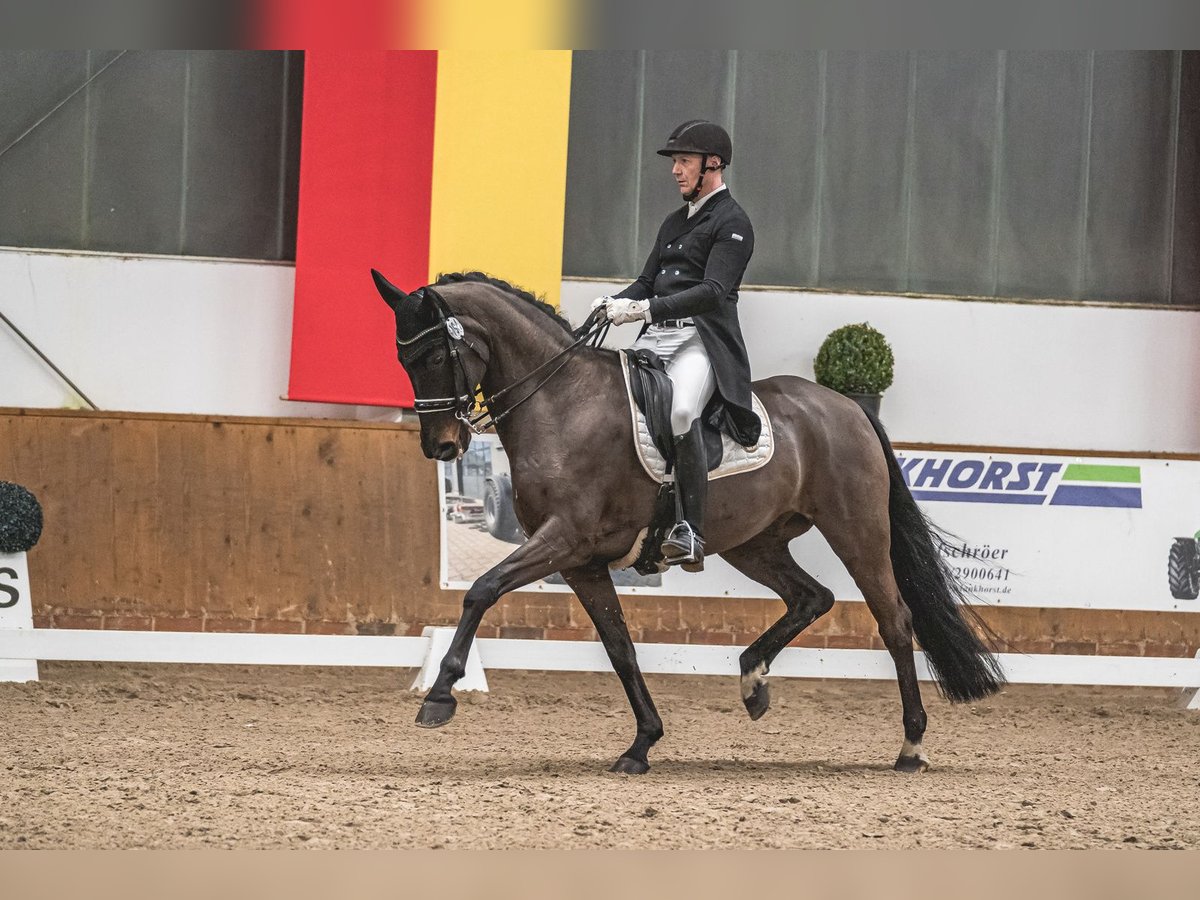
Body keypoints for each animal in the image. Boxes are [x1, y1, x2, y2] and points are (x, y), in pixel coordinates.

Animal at [367, 267, 1003, 777]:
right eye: (401, 359)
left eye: (433, 357)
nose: (442, 447)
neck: (562, 402)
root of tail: (848, 406)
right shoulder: (582, 563)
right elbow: (619, 647)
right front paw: (642, 745)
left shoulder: (564, 539)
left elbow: (481, 589)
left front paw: (441, 694)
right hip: (753, 544)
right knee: (811, 597)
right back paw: (752, 680)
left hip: (857, 532)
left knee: (894, 620)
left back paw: (911, 746)